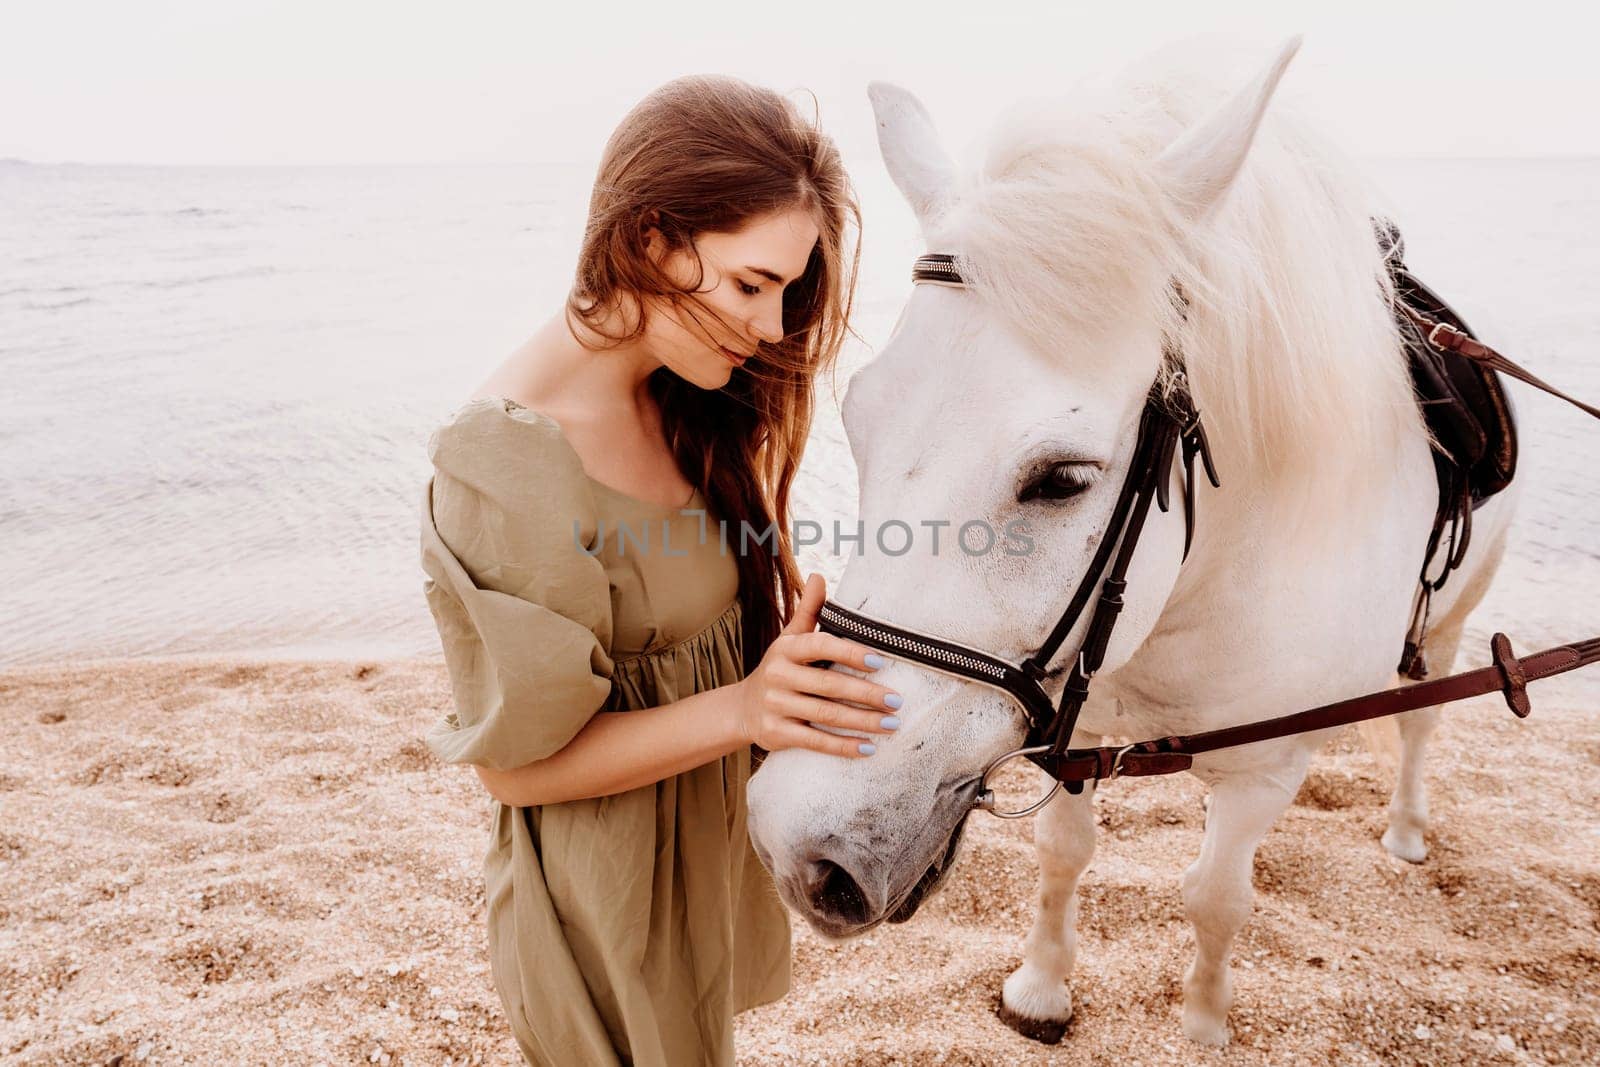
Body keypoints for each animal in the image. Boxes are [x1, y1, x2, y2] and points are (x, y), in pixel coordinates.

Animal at [748, 37, 1523, 1049]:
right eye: (857, 417)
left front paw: (1203, 1021)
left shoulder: (1267, 765)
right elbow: (1062, 852)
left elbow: (1217, 894)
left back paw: (1403, 828)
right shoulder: (1072, 724)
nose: (797, 843)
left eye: (1063, 478)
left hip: (1454, 620)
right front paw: (1040, 987)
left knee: (1421, 720)